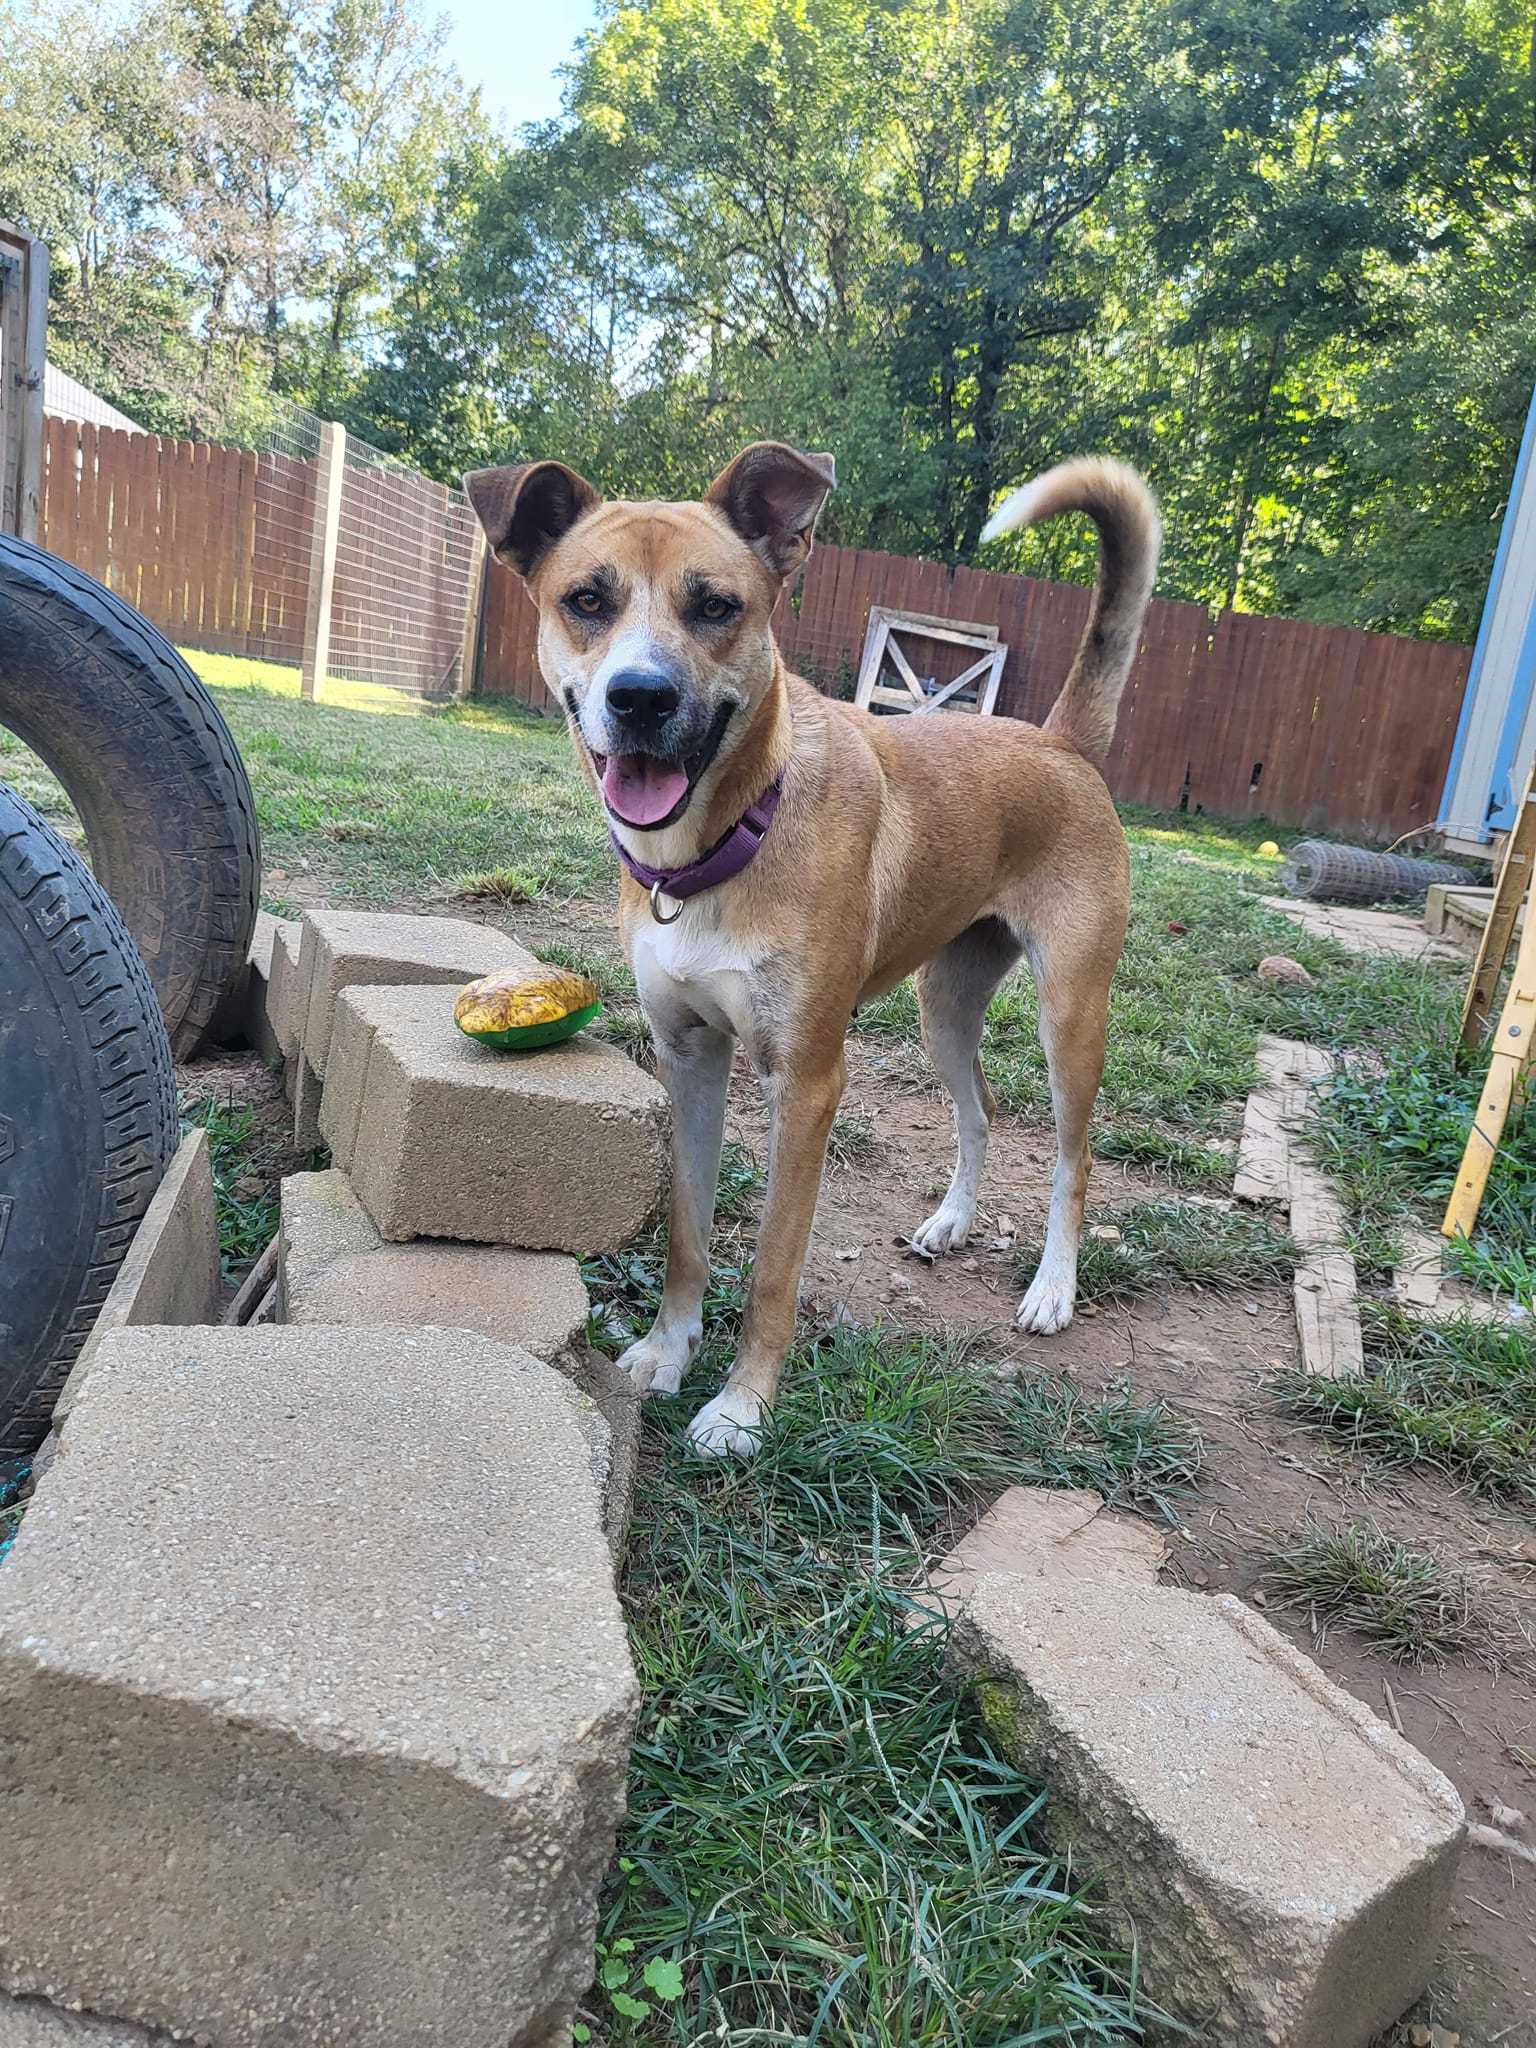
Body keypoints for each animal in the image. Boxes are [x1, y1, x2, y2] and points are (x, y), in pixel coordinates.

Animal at [462, 440, 1163, 1449]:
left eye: (717, 606)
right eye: (585, 599)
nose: (640, 698)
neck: (725, 842)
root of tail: (1062, 743)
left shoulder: (805, 1082)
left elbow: (772, 1267)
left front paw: (742, 1407)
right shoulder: (687, 1054)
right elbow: (688, 1231)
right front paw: (667, 1350)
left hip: (1071, 1012)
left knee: (1074, 1160)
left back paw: (1052, 1289)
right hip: (944, 1007)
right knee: (979, 1109)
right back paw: (950, 1222)